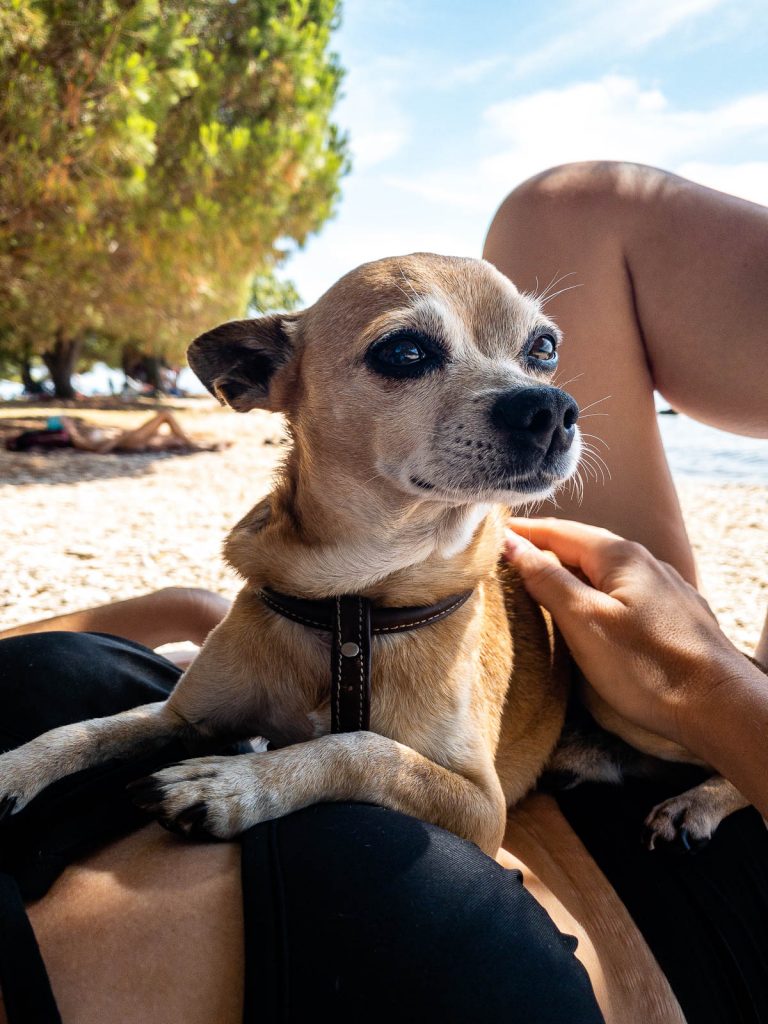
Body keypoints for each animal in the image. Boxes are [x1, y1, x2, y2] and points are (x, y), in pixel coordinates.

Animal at [0, 256, 581, 856]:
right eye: (404, 351)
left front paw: (234, 784)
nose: (551, 408)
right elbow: (85, 729)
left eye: (544, 347)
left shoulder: (481, 806)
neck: (353, 598)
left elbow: (363, 750)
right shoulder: (176, 714)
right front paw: (13, 767)